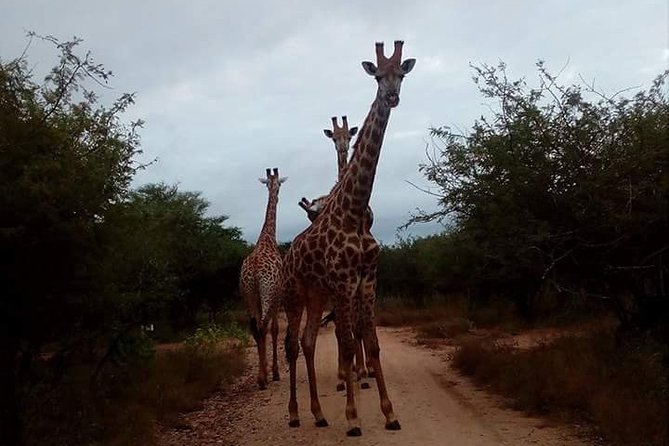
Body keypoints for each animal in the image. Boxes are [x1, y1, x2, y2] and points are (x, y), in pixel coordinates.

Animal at [280, 41, 414, 436]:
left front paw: (389, 413)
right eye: (377, 75)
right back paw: (295, 414)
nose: (392, 96)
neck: (353, 210)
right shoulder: (343, 281)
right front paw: (353, 417)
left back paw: (319, 413)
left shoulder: (366, 280)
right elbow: (347, 340)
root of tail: (287, 254)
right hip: (294, 294)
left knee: (309, 341)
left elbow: (370, 341)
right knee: (291, 344)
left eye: (401, 74)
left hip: (315, 295)